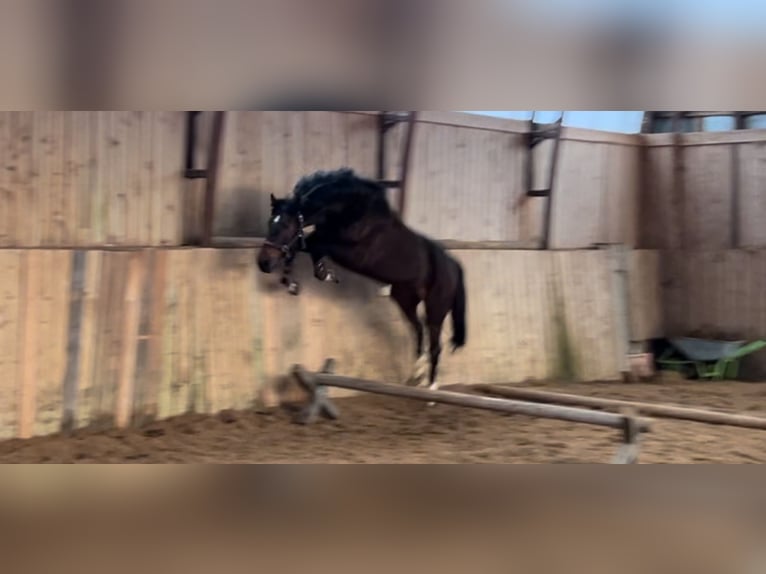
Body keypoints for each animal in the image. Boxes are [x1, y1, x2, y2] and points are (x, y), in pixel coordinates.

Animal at [257, 168, 467, 391]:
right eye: (270, 222)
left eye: (287, 224)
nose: (263, 263)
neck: (350, 210)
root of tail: (453, 265)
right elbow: (308, 246)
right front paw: (299, 279)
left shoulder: (352, 253)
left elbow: (312, 245)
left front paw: (310, 277)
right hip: (405, 298)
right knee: (418, 329)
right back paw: (415, 377)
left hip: (436, 307)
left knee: (434, 343)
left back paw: (431, 386)